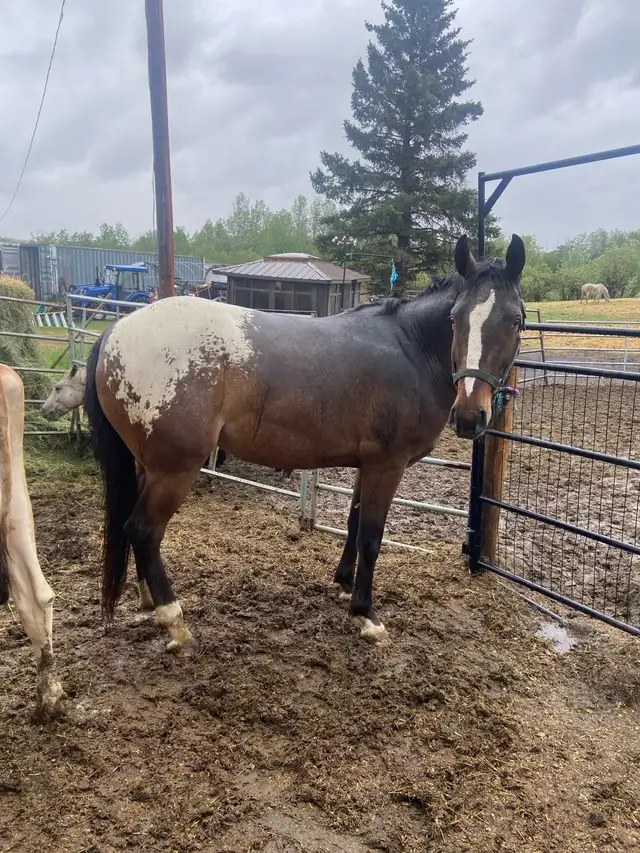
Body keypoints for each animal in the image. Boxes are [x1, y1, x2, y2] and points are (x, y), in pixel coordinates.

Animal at [83, 234, 526, 649]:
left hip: (148, 465)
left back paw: (148, 601)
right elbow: (371, 535)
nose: (469, 416)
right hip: (174, 469)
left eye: (516, 321)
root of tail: (114, 333)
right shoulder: (388, 465)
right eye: (455, 318)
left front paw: (345, 585)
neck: (410, 348)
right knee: (143, 530)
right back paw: (175, 621)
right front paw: (366, 614)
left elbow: (353, 524)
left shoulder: (368, 464)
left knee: (135, 532)